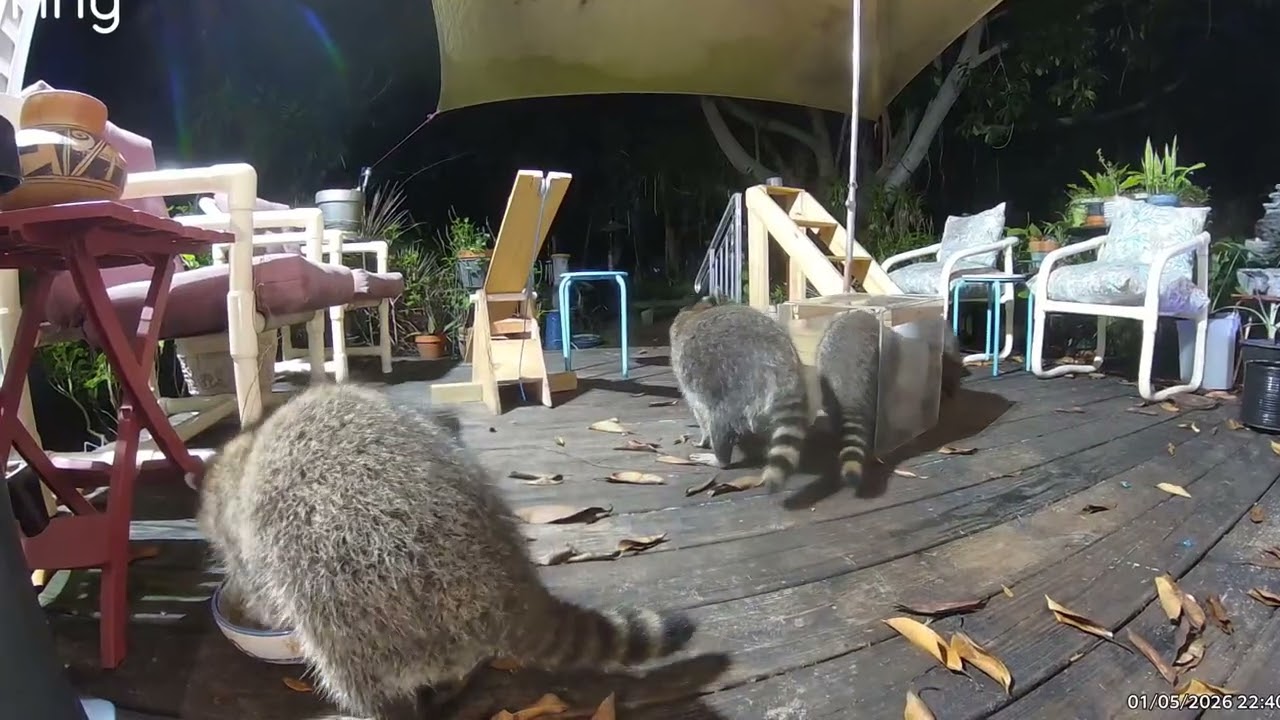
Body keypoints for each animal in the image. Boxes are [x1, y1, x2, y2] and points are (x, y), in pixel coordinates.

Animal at [197, 384, 696, 720]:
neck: (246, 453)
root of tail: (508, 582)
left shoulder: (255, 538)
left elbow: (264, 587)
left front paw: (258, 608)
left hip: (356, 573)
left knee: (341, 652)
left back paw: (372, 706)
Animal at [669, 296, 810, 493]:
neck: (698, 311)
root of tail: (778, 356)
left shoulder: (686, 375)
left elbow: (700, 412)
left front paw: (704, 439)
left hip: (736, 385)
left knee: (719, 419)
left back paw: (720, 459)